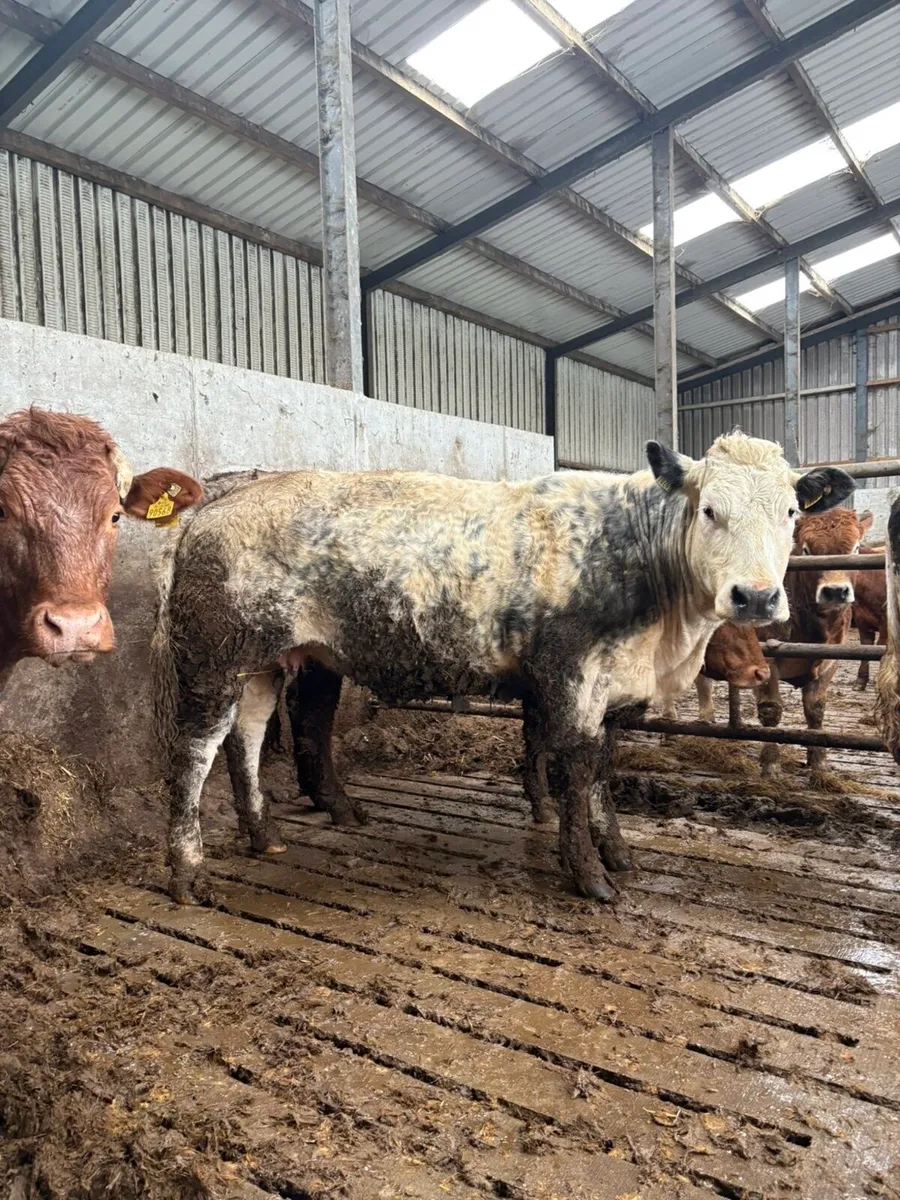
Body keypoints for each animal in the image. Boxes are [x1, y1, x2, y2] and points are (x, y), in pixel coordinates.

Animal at [152, 432, 854, 905]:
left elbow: (605, 768)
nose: (756, 597)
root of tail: (225, 496)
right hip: (211, 662)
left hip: (272, 660)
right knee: (194, 752)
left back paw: (263, 833)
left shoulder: (616, 689)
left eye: (791, 512)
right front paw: (589, 874)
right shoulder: (569, 674)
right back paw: (187, 872)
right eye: (709, 509)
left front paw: (617, 853)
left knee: (248, 737)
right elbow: (576, 768)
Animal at [755, 506, 872, 779]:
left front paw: (819, 763)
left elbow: (815, 709)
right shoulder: (767, 657)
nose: (836, 591)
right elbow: (771, 710)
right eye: (806, 549)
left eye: (856, 548)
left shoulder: (831, 659)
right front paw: (771, 764)